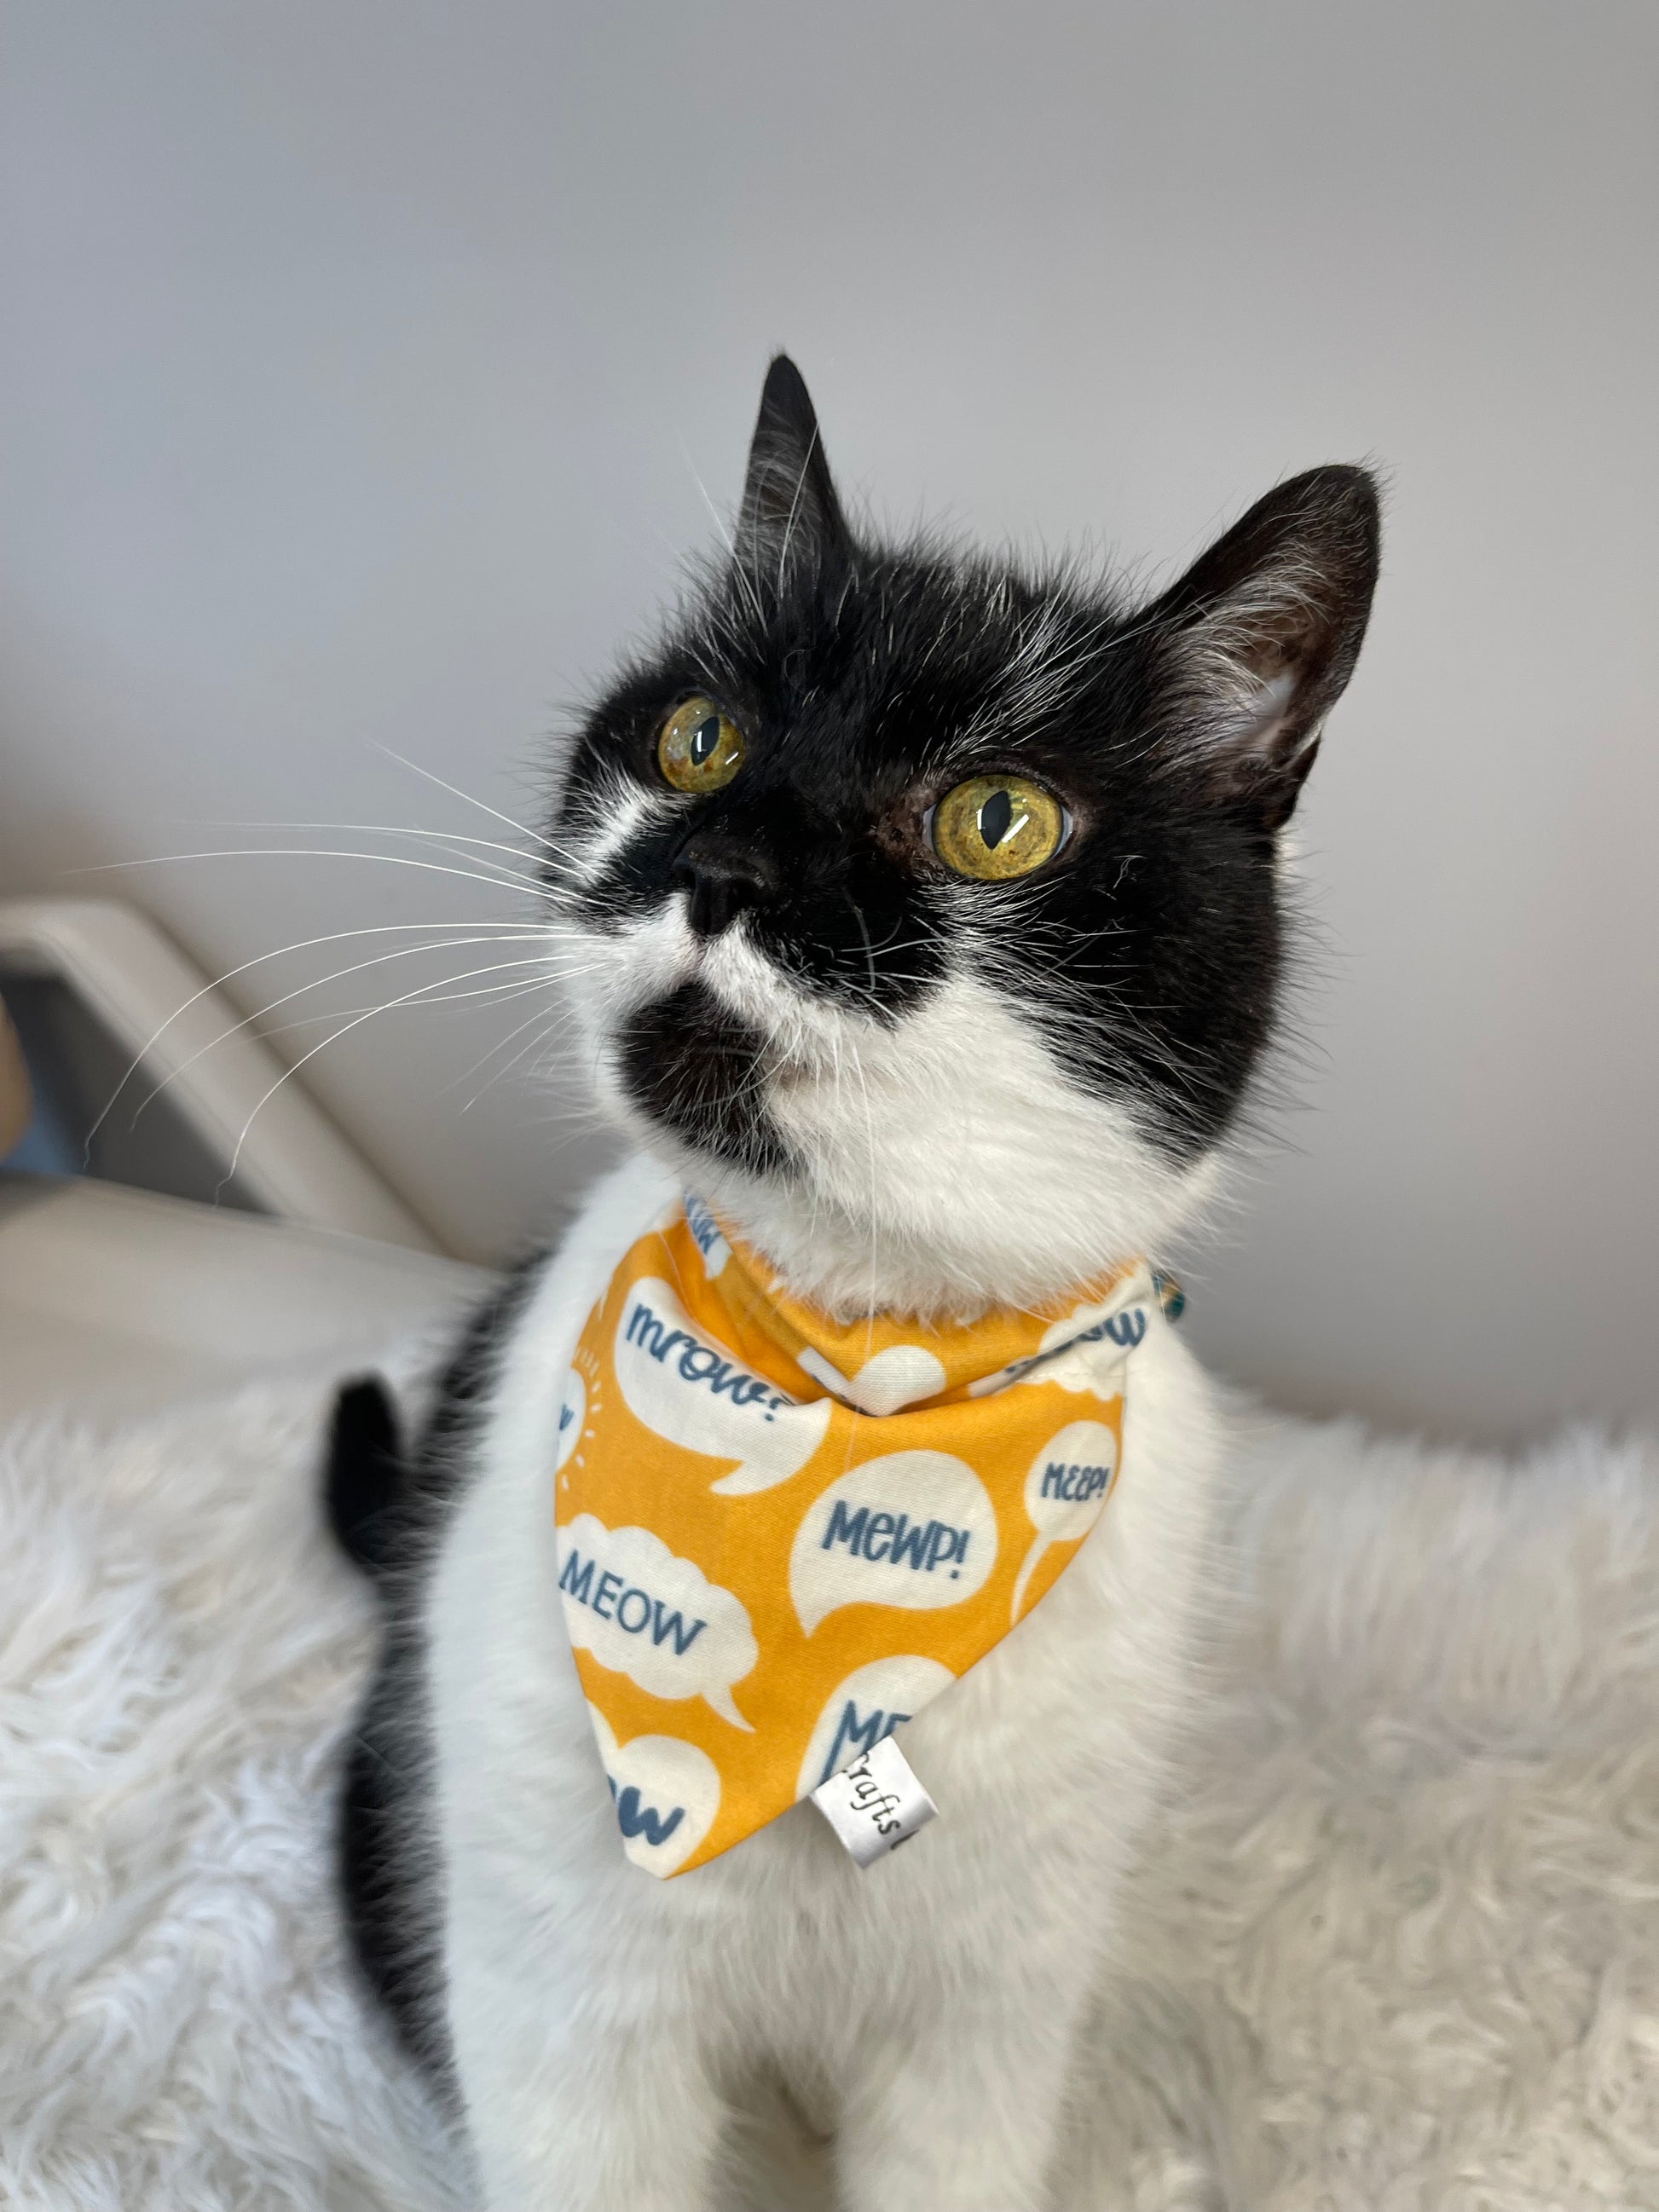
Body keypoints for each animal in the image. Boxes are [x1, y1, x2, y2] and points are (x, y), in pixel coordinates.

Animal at [332, 362, 1380, 2212]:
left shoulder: (987, 2015)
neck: (856, 1366)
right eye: (700, 737)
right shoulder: (563, 2005)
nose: (725, 866)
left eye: (996, 819)